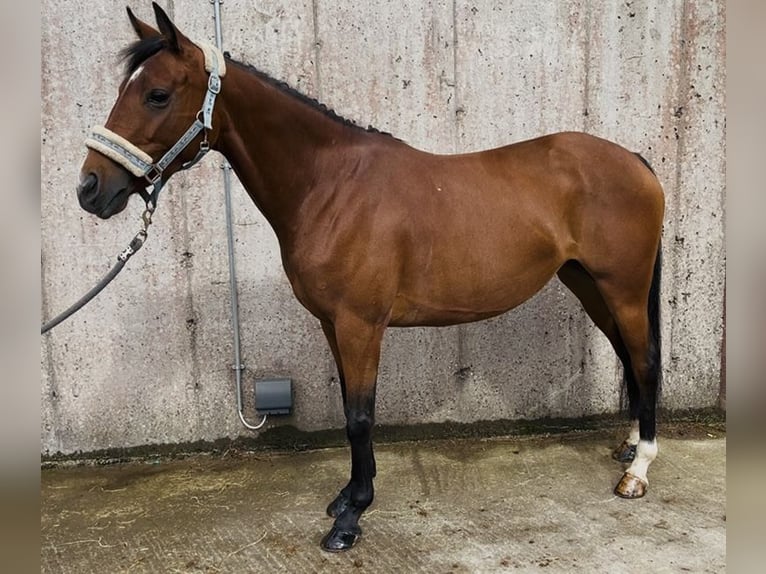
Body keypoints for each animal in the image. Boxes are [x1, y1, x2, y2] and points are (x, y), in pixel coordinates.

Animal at [75, 3, 665, 552]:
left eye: (156, 94)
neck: (330, 185)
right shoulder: (333, 324)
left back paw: (638, 472)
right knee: (627, 356)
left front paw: (351, 518)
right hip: (589, 286)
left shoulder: (360, 324)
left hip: (623, 289)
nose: (89, 188)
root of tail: (635, 160)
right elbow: (347, 410)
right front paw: (346, 497)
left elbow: (360, 416)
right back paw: (629, 446)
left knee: (644, 360)